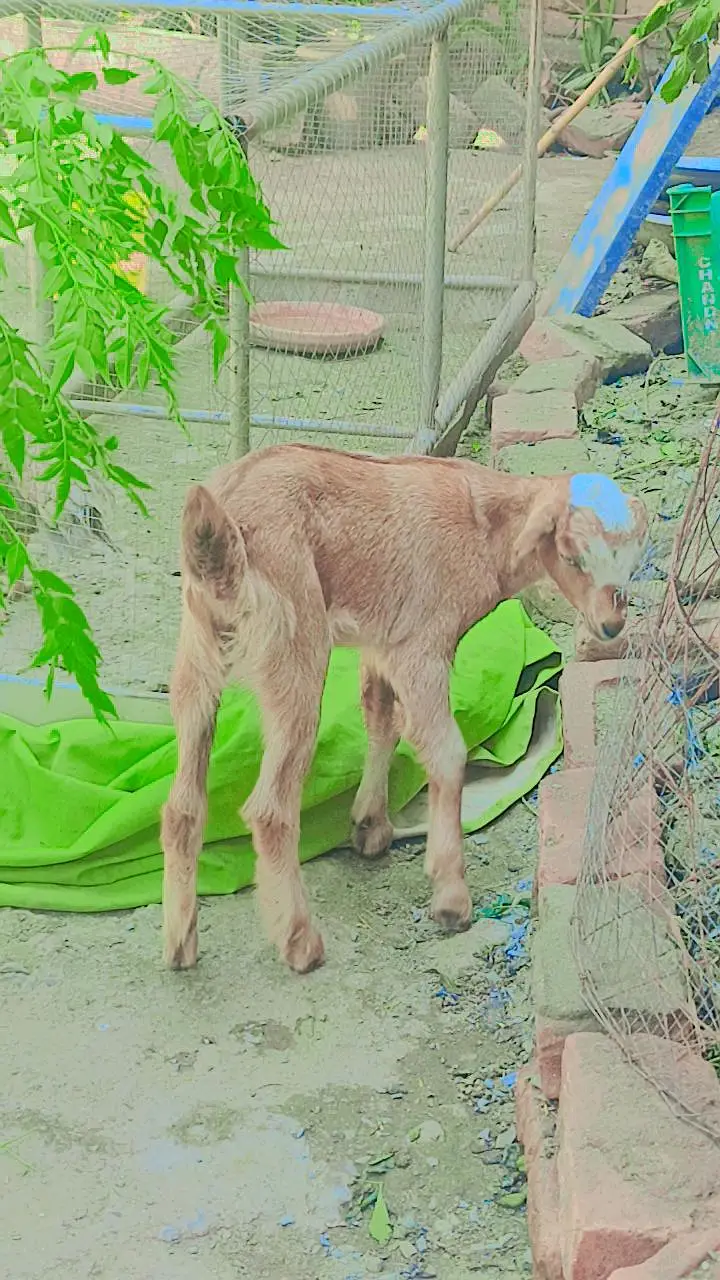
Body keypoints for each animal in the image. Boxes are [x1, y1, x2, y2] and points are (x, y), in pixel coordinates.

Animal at [161, 444, 647, 974]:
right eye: (571, 554)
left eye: (632, 561)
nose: (610, 625)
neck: (484, 529)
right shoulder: (422, 645)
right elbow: (446, 752)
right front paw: (450, 898)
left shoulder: (383, 640)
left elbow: (381, 716)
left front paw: (370, 826)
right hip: (294, 645)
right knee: (270, 807)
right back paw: (299, 941)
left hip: (197, 653)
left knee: (182, 805)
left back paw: (180, 942)